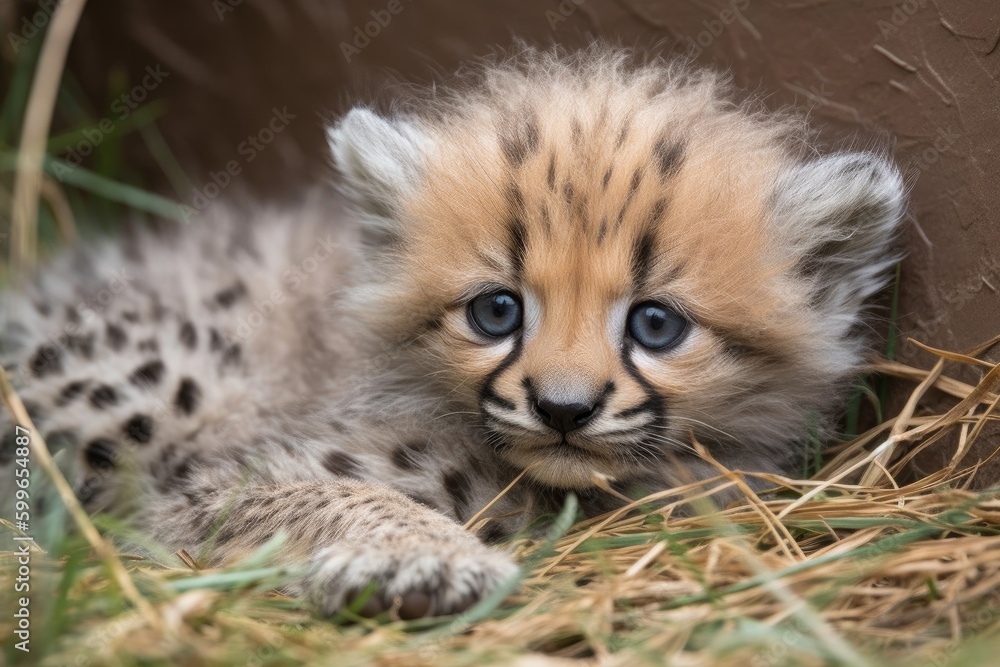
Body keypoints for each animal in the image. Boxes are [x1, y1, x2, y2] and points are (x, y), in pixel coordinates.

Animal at [0, 45, 905, 619]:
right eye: (496, 311)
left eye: (655, 323)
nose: (563, 408)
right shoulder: (199, 488)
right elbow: (327, 492)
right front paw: (425, 554)